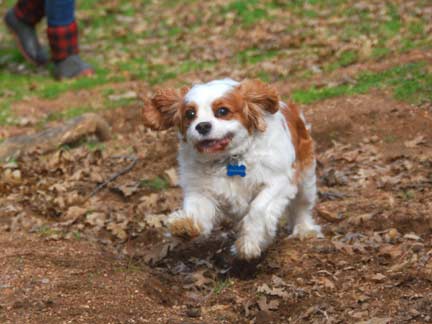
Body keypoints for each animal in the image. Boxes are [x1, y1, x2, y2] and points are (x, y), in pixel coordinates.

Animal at [143, 78, 322, 260]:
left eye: (222, 111)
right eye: (190, 114)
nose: (202, 126)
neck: (229, 159)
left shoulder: (280, 182)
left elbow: (258, 208)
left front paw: (249, 243)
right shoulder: (200, 189)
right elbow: (197, 208)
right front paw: (185, 225)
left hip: (306, 177)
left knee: (302, 206)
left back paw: (304, 229)